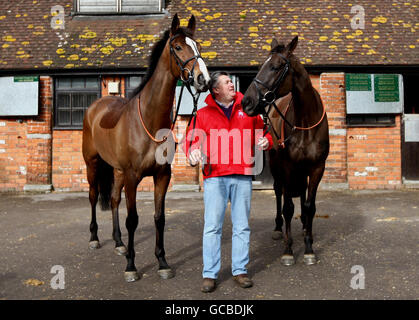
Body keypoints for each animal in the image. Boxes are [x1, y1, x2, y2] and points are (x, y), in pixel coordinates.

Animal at [81, 13, 210, 282]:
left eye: (198, 47)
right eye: (178, 47)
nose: (203, 79)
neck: (150, 122)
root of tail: (96, 106)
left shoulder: (162, 176)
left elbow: (159, 218)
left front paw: (162, 262)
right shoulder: (133, 177)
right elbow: (133, 219)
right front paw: (131, 266)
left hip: (117, 171)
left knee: (114, 199)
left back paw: (119, 243)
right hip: (93, 164)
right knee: (93, 196)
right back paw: (95, 238)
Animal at [241, 36, 330, 266]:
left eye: (275, 66)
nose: (246, 102)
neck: (305, 123)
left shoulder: (317, 169)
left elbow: (309, 206)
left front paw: (309, 246)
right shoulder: (288, 168)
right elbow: (288, 207)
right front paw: (289, 250)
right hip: (277, 168)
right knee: (279, 193)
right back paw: (278, 229)